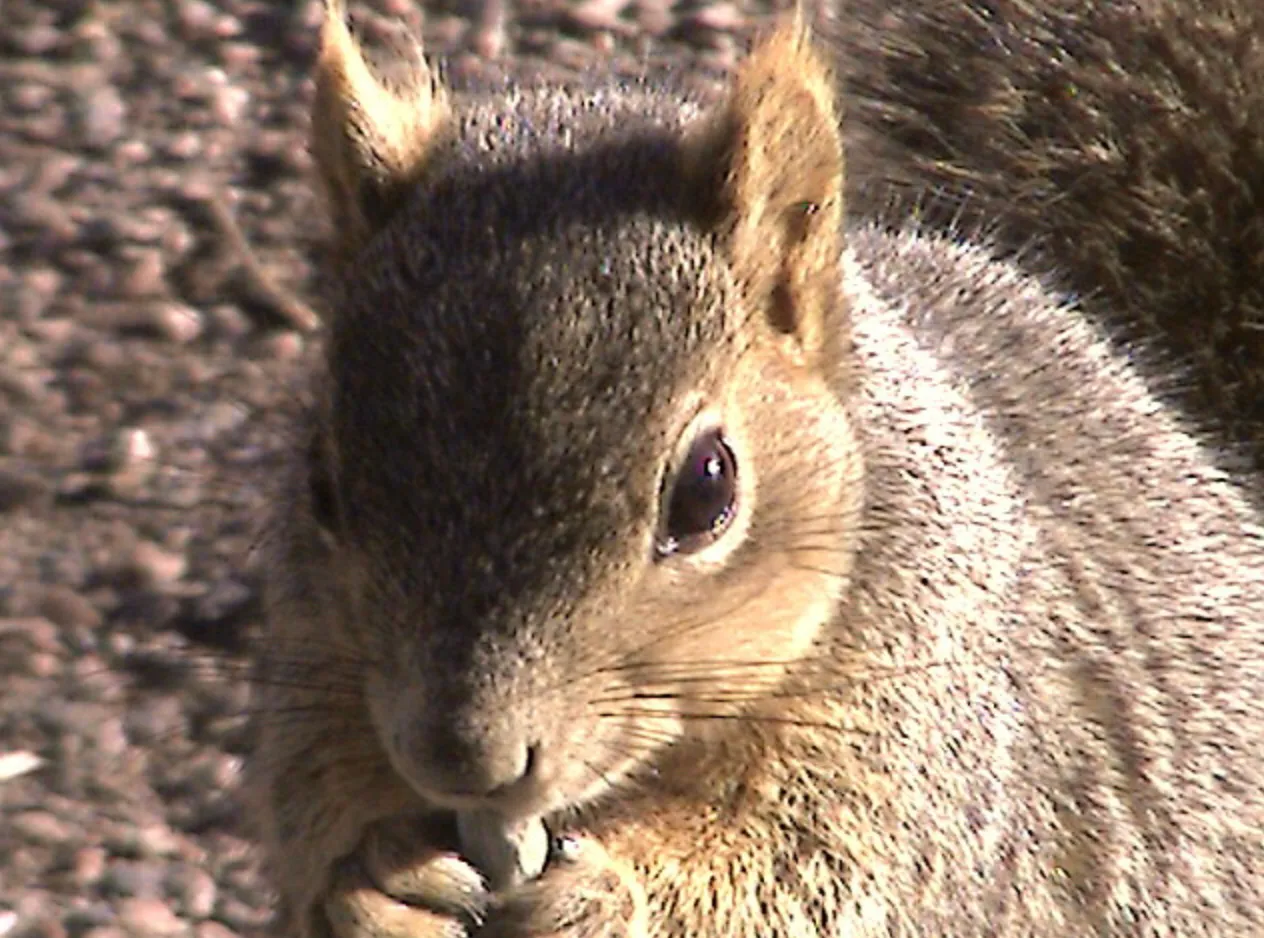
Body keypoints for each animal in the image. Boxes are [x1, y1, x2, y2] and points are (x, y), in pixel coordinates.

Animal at [243, 1, 1264, 938]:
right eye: (321, 483)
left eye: (707, 489)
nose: (465, 763)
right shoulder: (317, 668)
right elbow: (309, 812)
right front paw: (372, 883)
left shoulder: (932, 739)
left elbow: (809, 881)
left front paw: (609, 894)